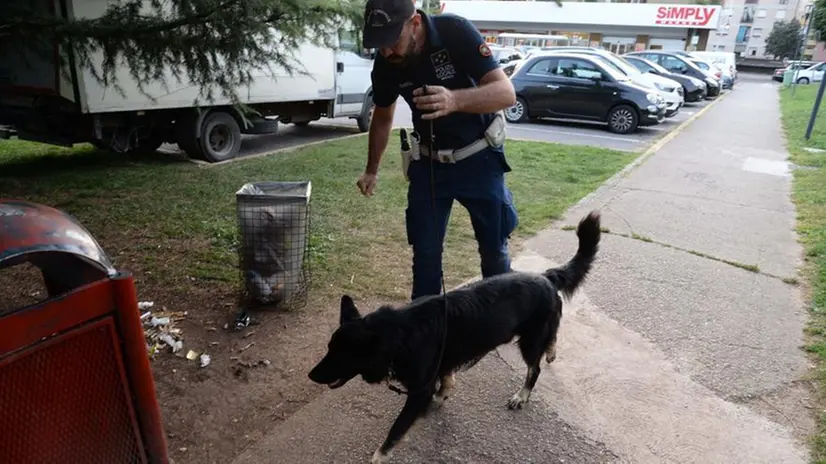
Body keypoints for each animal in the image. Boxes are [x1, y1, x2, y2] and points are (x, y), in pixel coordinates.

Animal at [308, 212, 600, 462]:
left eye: (342, 354)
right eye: (328, 348)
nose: (311, 375)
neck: (398, 336)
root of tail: (546, 276)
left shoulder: (418, 391)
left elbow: (395, 431)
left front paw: (379, 456)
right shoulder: (442, 363)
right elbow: (446, 379)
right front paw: (443, 394)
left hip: (528, 341)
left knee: (534, 369)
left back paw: (522, 395)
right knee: (551, 339)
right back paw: (550, 353)